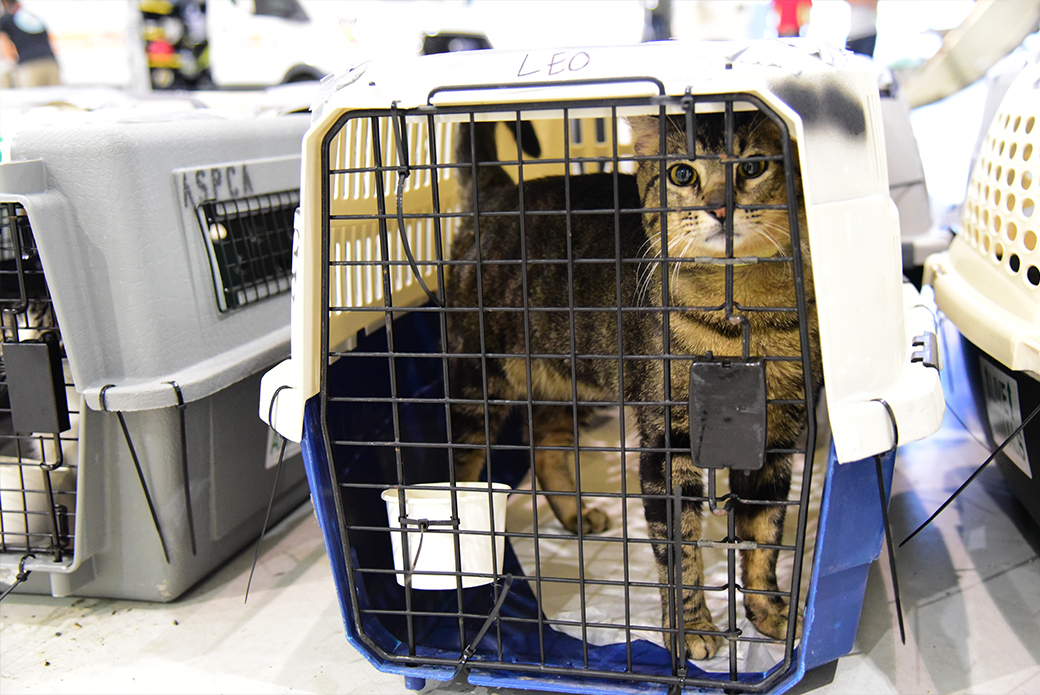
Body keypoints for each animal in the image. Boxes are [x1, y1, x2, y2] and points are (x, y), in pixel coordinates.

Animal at [447, 111, 819, 661]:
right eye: (682, 174)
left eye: (752, 166)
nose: (719, 207)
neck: (744, 318)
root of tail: (501, 189)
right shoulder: (668, 443)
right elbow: (680, 549)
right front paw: (693, 631)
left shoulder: (775, 441)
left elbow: (763, 537)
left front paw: (770, 615)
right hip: (479, 380)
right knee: (463, 463)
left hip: (567, 379)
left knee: (545, 444)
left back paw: (576, 516)